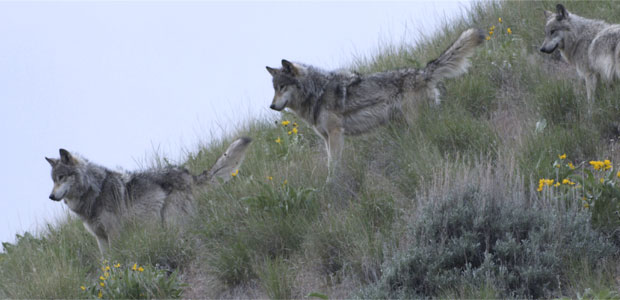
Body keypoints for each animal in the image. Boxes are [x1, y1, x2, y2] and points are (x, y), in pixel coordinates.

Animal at [45, 137, 252, 254]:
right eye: (53, 180)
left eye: (61, 177)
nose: (51, 196)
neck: (95, 191)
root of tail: (188, 174)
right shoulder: (100, 238)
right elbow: (106, 263)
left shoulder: (114, 233)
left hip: (173, 221)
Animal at [266, 28, 484, 178]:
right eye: (274, 88)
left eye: (282, 87)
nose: (271, 106)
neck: (316, 93)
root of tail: (422, 71)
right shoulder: (326, 138)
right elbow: (330, 164)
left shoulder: (336, 134)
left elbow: (334, 166)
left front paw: (332, 183)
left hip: (415, 122)